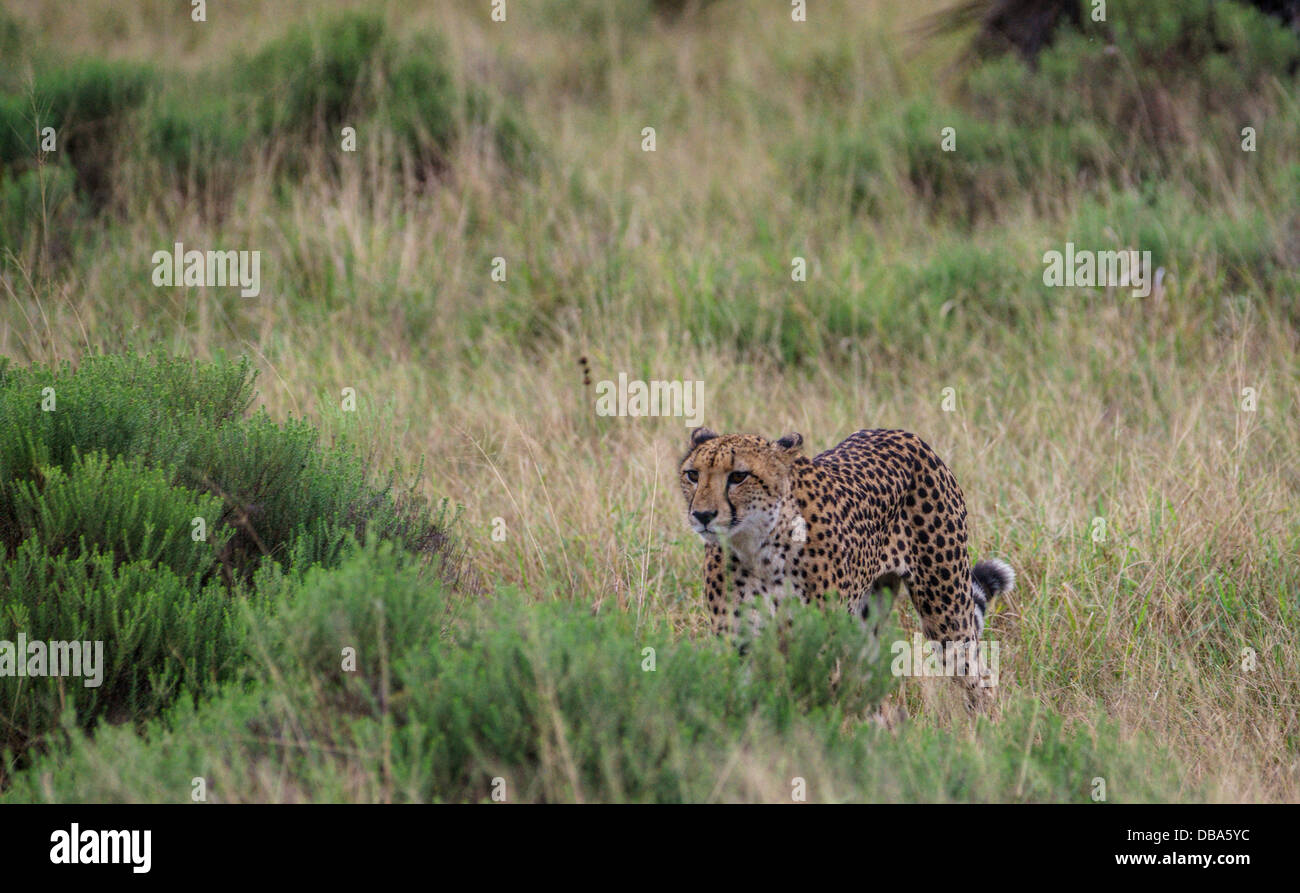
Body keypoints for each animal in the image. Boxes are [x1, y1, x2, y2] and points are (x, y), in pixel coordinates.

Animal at [678, 425, 1014, 710]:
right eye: (692, 475)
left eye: (738, 476)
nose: (703, 515)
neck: (757, 549)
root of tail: (901, 433)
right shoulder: (739, 645)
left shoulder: (819, 643)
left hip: (946, 611)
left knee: (977, 678)